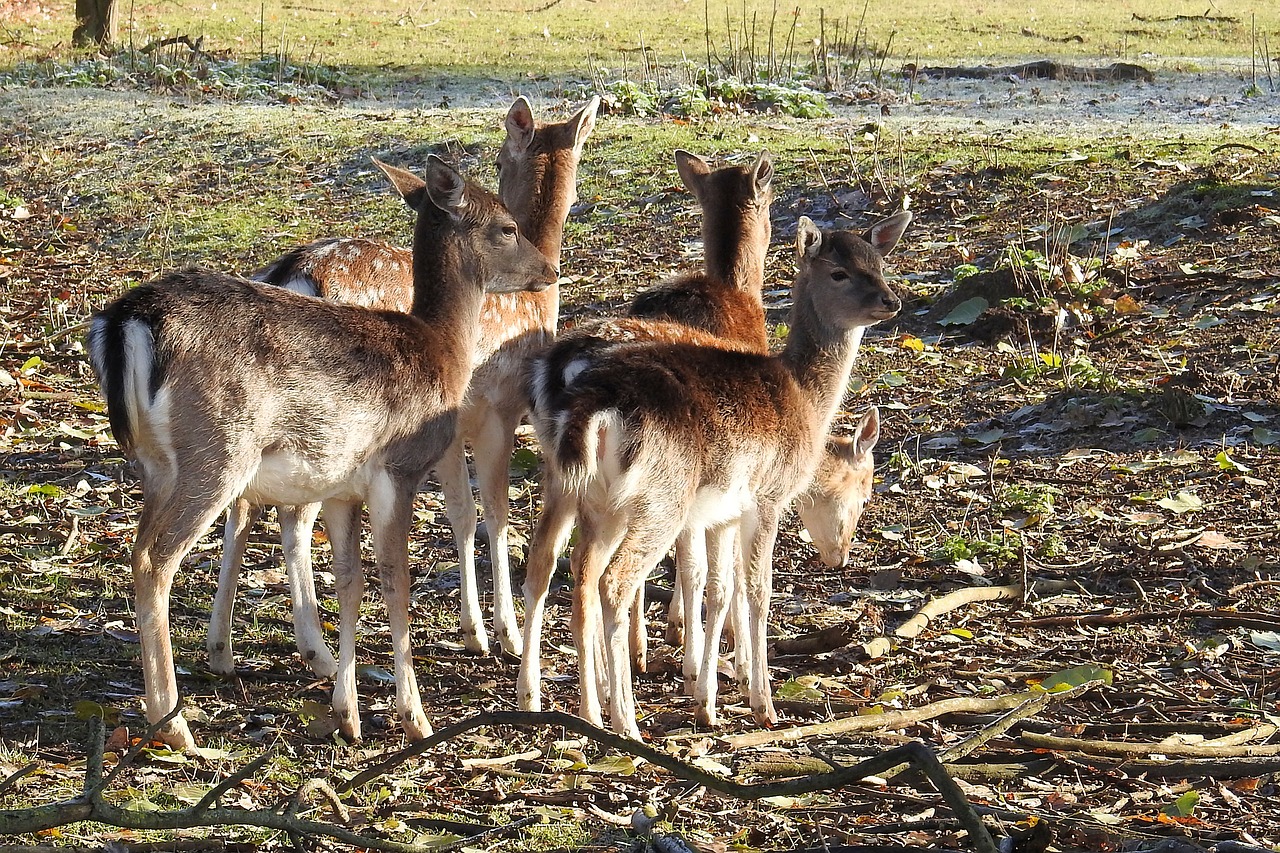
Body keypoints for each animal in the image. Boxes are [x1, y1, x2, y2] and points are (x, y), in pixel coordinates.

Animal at [85, 156, 555, 747]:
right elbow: (396, 581)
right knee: (155, 559)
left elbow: (351, 583)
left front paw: (348, 714)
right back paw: (174, 725)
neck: (441, 349)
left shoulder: (341, 488)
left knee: (144, 546)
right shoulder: (397, 469)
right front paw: (414, 717)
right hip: (217, 450)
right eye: (507, 226)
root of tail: (123, 321)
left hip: (156, 464)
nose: (549, 270)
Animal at [206, 96, 599, 676]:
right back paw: (317, 651)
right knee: (292, 517)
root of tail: (292, 271)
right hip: (333, 427)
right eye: (499, 162)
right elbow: (494, 512)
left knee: (243, 505)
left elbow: (462, 512)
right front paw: (499, 632)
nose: (547, 271)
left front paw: (474, 629)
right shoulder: (497, 409)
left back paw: (223, 648)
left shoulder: (447, 423)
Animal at [514, 208, 906, 732]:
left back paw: (563, 704)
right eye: (839, 272)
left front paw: (710, 693)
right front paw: (758, 699)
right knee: (614, 580)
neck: (805, 400)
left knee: (560, 564)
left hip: (584, 490)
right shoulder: (765, 497)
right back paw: (625, 718)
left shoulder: (720, 511)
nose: (891, 300)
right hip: (660, 497)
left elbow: (719, 585)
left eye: (879, 263)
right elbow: (755, 588)